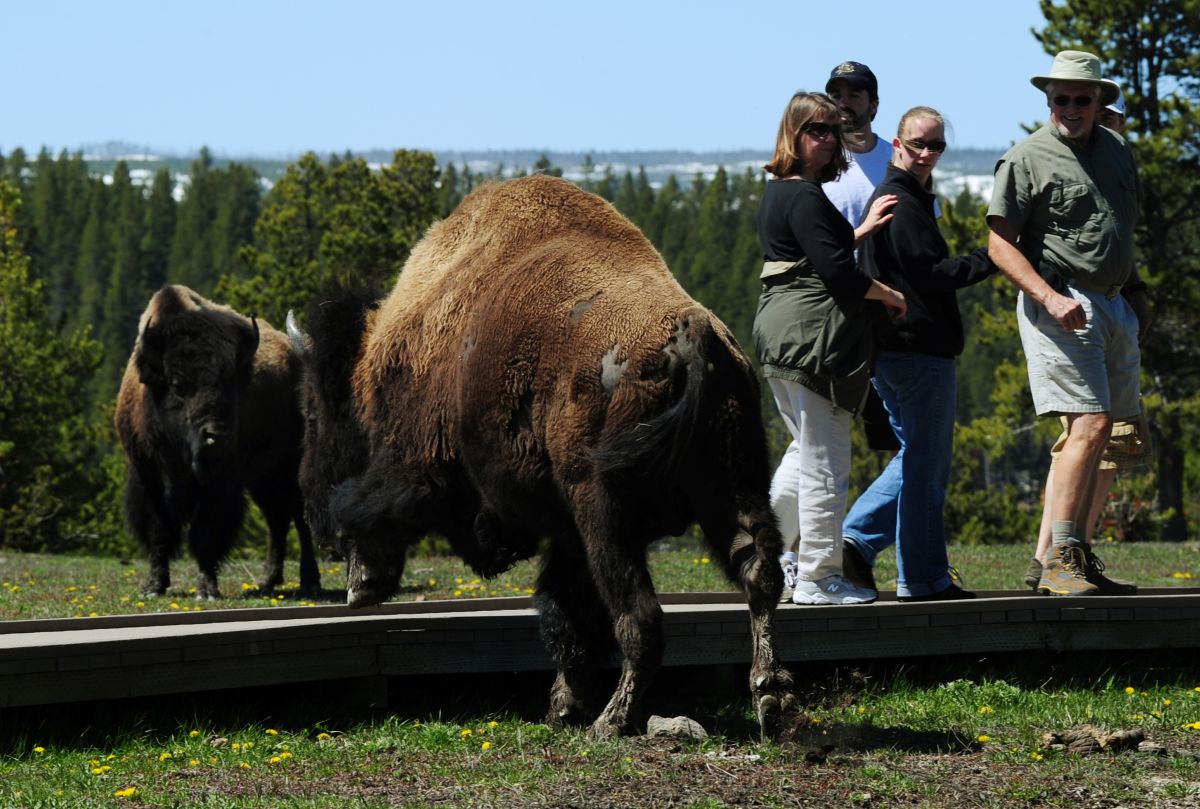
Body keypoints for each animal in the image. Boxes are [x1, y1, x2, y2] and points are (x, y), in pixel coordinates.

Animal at [115, 282, 321, 592]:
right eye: (177, 384)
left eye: (231, 384)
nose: (217, 436)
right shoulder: (148, 475)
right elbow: (159, 530)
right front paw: (154, 586)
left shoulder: (222, 481)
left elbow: (206, 533)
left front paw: (207, 589)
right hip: (262, 479)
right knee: (277, 520)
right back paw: (268, 580)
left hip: (289, 467)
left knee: (298, 518)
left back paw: (309, 582)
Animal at [291, 175, 796, 739]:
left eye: (313, 414)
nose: (312, 510)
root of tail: (691, 333)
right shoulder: (567, 535)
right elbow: (566, 613)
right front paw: (562, 706)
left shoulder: (419, 461)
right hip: (733, 485)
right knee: (758, 574)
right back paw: (771, 701)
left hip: (605, 512)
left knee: (639, 617)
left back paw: (612, 722)